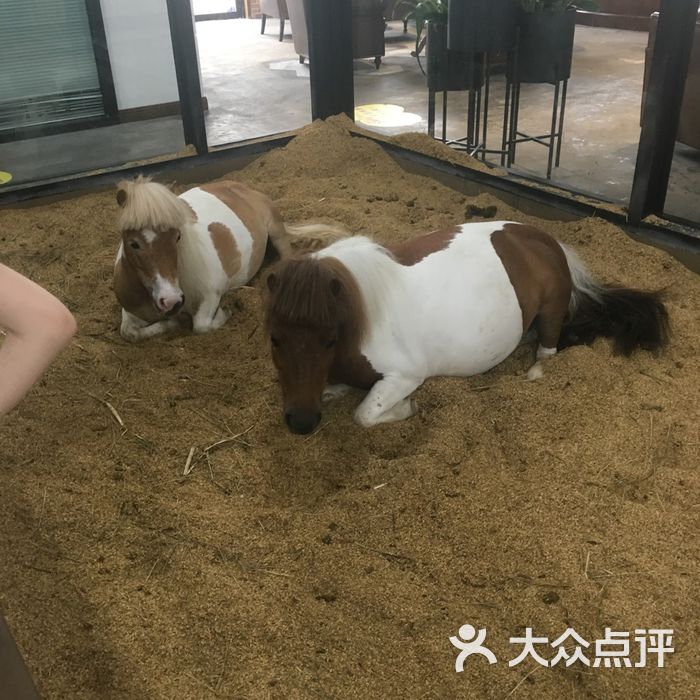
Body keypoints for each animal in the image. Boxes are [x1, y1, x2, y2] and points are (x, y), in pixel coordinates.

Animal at [113, 176, 345, 341]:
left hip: (275, 230)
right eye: (133, 243)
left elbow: (201, 325)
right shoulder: (131, 311)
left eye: (177, 237)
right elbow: (129, 333)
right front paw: (172, 323)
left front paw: (225, 313)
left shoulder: (211, 294)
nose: (171, 301)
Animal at [263, 221, 670, 434]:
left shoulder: (405, 375)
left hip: (552, 312)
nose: (301, 422)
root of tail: (541, 236)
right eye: (275, 338)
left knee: (548, 349)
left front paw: (406, 409)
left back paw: (535, 372)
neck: (363, 312)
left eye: (329, 339)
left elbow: (364, 414)